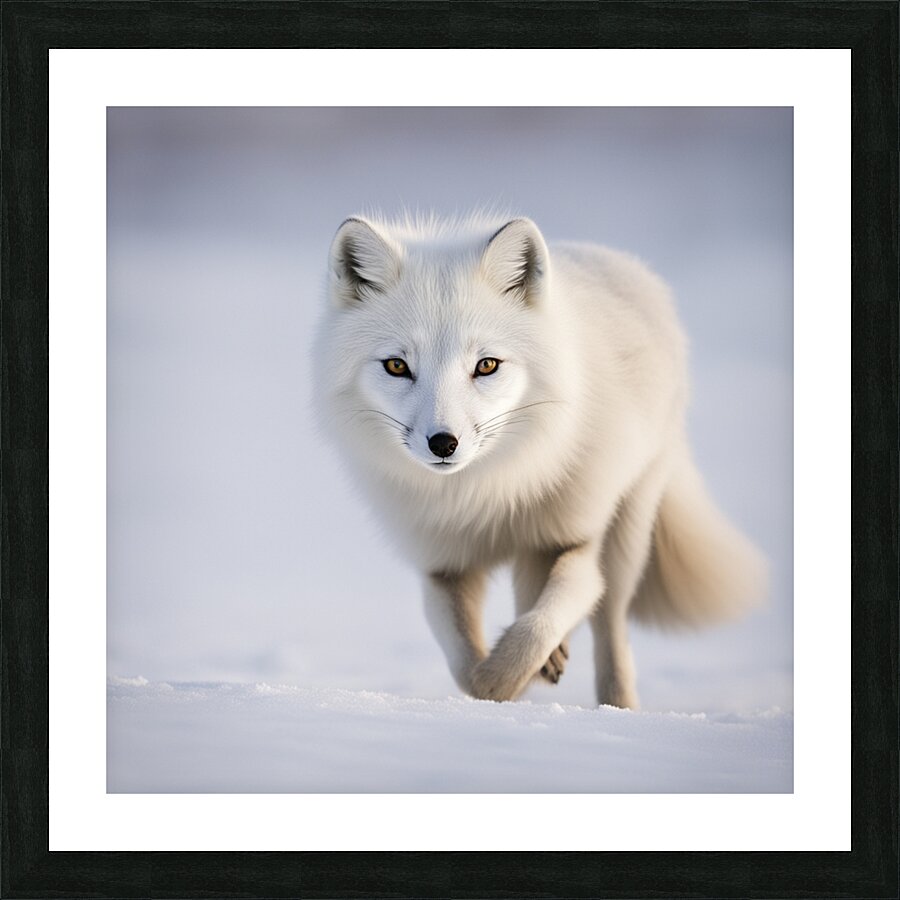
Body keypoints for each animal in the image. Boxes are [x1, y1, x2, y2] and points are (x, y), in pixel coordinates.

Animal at [314, 212, 767, 709]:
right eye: (397, 366)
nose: (443, 443)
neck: (487, 494)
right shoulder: (444, 565)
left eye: (486, 365)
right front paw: (500, 682)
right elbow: (466, 668)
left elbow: (540, 624)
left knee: (609, 620)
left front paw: (513, 673)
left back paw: (617, 703)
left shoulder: (576, 541)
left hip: (627, 526)